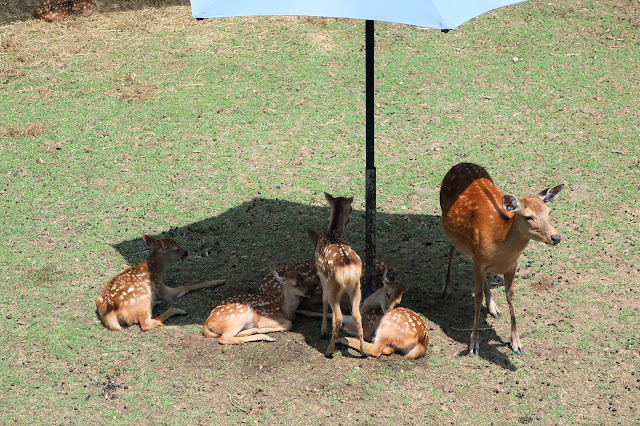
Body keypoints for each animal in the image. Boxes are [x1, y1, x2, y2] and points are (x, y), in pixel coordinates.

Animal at [95, 235, 225, 332]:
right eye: (176, 248)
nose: (186, 252)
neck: (156, 271)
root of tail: (111, 313)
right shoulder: (161, 288)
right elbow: (186, 286)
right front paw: (217, 281)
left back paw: (157, 303)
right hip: (143, 298)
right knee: (146, 324)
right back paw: (176, 310)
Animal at [314, 195, 368, 358]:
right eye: (350, 208)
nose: (349, 219)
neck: (333, 230)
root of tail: (348, 272)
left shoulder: (321, 273)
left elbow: (324, 299)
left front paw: (323, 331)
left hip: (334, 286)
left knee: (338, 317)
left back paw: (329, 351)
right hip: (356, 288)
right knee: (357, 314)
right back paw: (364, 351)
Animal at [442, 163, 564, 356]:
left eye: (549, 211)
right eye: (528, 216)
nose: (556, 237)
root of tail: (460, 164)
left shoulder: (511, 265)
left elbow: (510, 296)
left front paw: (517, 343)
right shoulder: (480, 263)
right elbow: (476, 297)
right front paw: (473, 343)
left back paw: (493, 307)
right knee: (452, 248)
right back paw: (446, 289)